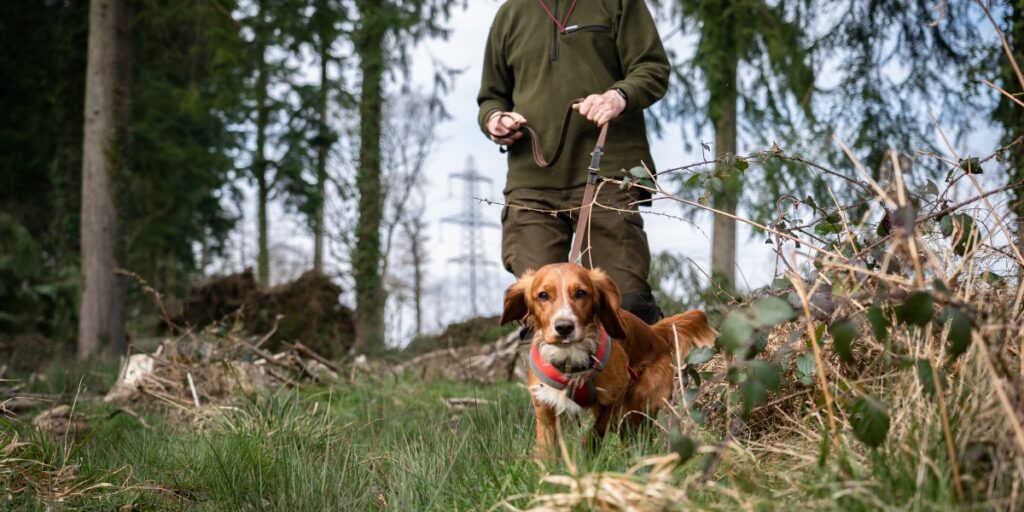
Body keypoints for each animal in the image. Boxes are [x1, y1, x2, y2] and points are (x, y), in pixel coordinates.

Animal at [499, 264, 716, 456]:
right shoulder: (545, 407)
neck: (571, 359)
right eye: (543, 295)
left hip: (640, 400)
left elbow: (597, 431)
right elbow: (547, 449)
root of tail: (655, 332)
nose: (564, 327)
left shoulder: (617, 394)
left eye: (581, 293)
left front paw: (588, 453)